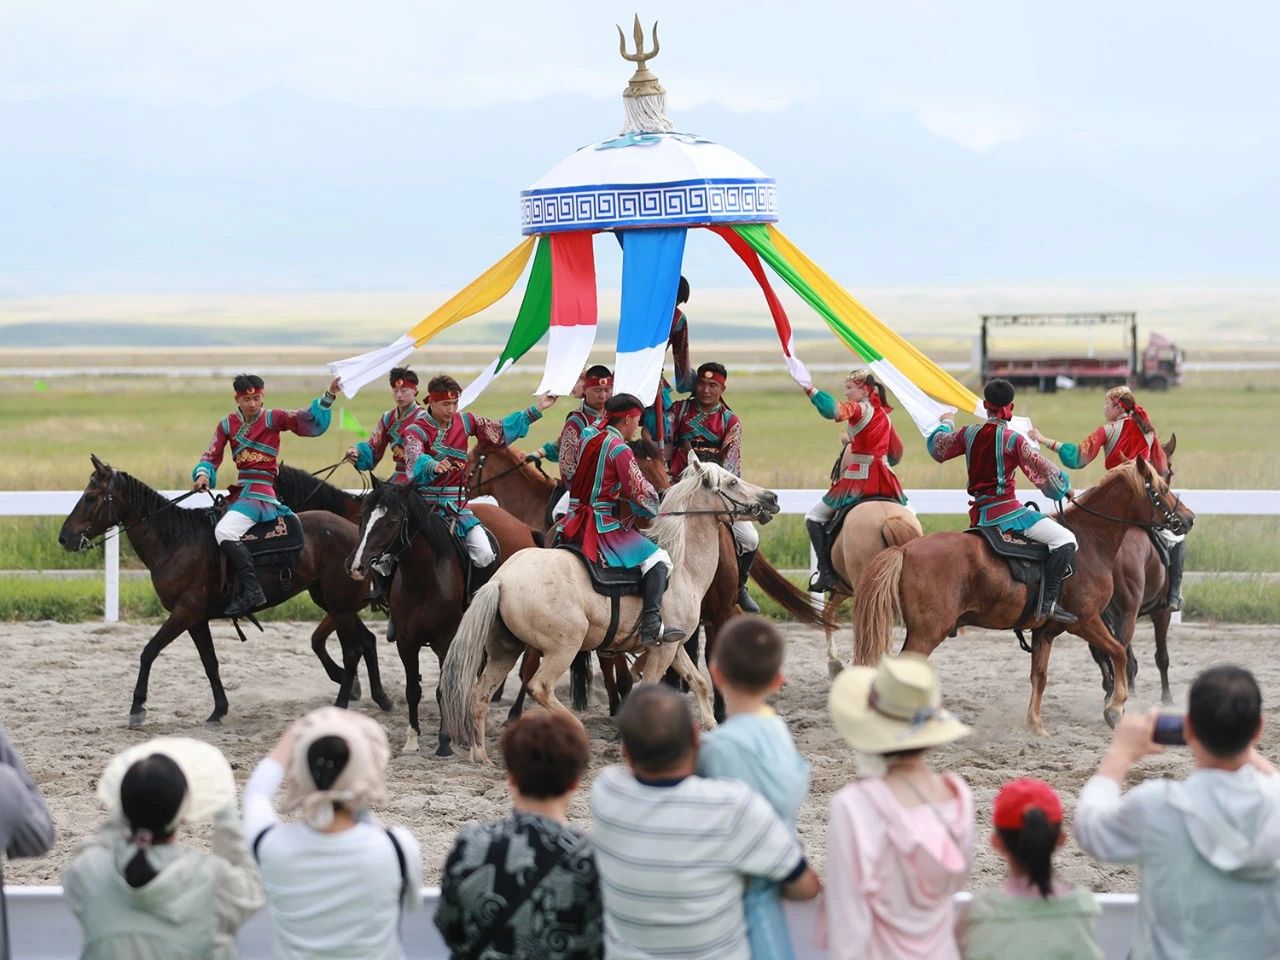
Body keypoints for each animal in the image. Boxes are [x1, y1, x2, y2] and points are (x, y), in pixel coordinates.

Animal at [58, 458, 389, 727]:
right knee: (364, 643)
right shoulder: (196, 619)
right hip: (334, 602)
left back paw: (343, 704)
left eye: (90, 497)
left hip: (340, 606)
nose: (64, 537)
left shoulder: (184, 613)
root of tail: (355, 532)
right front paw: (218, 710)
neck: (177, 542)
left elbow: (148, 651)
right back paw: (380, 698)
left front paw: (137, 707)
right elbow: (210, 662)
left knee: (353, 651)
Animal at [343, 481, 537, 757]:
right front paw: (412, 740)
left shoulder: (446, 641)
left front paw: (444, 742)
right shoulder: (406, 642)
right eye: (362, 517)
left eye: (392, 521)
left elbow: (443, 689)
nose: (355, 565)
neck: (423, 580)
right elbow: (413, 690)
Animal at [440, 458, 778, 768]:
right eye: (732, 482)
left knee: (480, 694)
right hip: (563, 647)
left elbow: (699, 681)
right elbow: (652, 687)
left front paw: (710, 724)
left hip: (505, 651)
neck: (682, 567)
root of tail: (501, 580)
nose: (772, 498)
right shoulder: (663, 650)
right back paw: (574, 731)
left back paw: (480, 754)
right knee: (539, 686)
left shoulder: (672, 645)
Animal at [855, 463, 1192, 732]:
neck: (1088, 541)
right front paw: (1115, 708)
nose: (1188, 518)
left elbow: (1039, 676)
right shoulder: (1086, 621)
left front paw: (1036, 726)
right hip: (926, 634)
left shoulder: (1046, 631)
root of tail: (905, 549)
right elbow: (1119, 653)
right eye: (1161, 490)